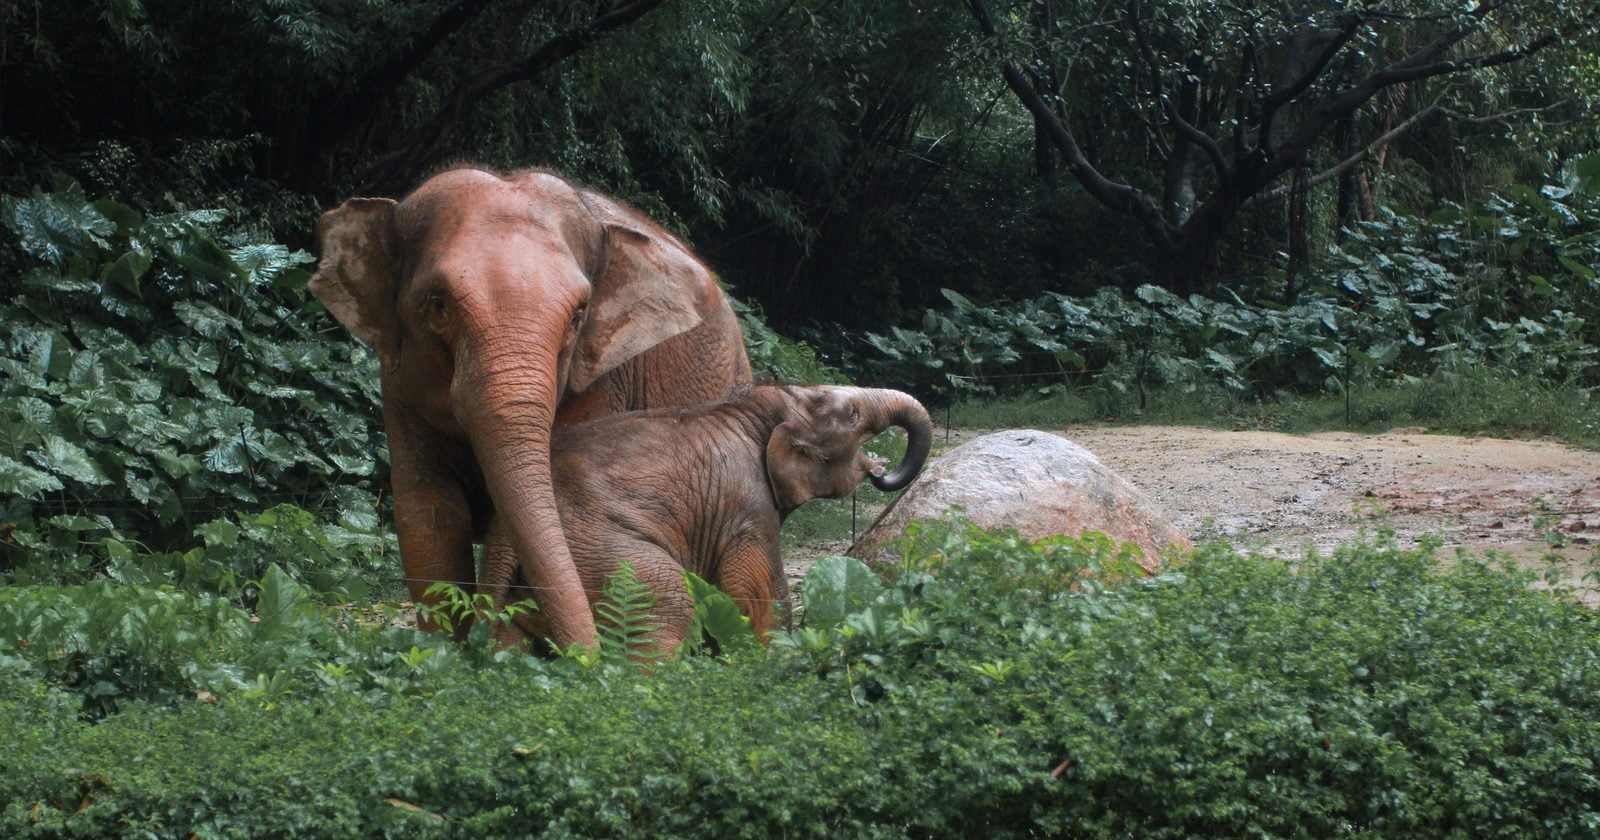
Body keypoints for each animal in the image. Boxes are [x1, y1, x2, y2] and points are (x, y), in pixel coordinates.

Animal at [308, 166, 751, 650]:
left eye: (578, 315)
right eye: (438, 305)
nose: (590, 658)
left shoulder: (600, 380)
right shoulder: (400, 381)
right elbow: (429, 515)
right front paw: (444, 653)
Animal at [480, 384, 933, 654]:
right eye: (854, 415)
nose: (882, 473)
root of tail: (503, 536)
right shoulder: (747, 508)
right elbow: (757, 592)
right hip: (599, 552)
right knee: (669, 605)